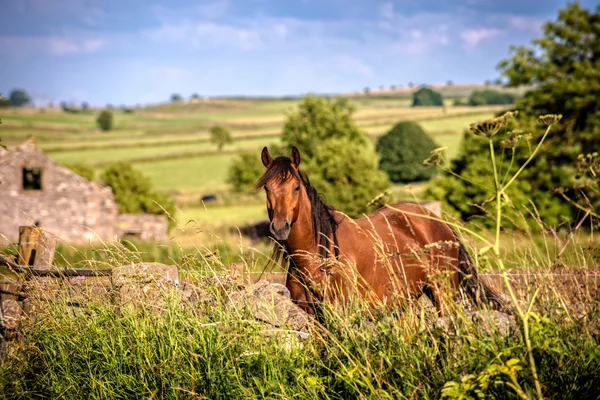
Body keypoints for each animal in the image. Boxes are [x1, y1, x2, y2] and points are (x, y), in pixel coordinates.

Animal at [253, 145, 502, 314]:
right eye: (267, 188)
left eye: (296, 187)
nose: (280, 228)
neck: (317, 258)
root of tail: (439, 223)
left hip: (444, 295)